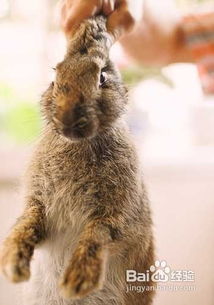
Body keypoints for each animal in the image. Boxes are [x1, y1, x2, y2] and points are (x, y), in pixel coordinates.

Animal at [0, 16, 155, 304]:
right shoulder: (37, 202)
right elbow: (27, 222)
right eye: (55, 77)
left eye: (102, 77)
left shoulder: (118, 216)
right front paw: (13, 264)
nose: (68, 121)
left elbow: (98, 234)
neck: (78, 145)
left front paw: (76, 282)